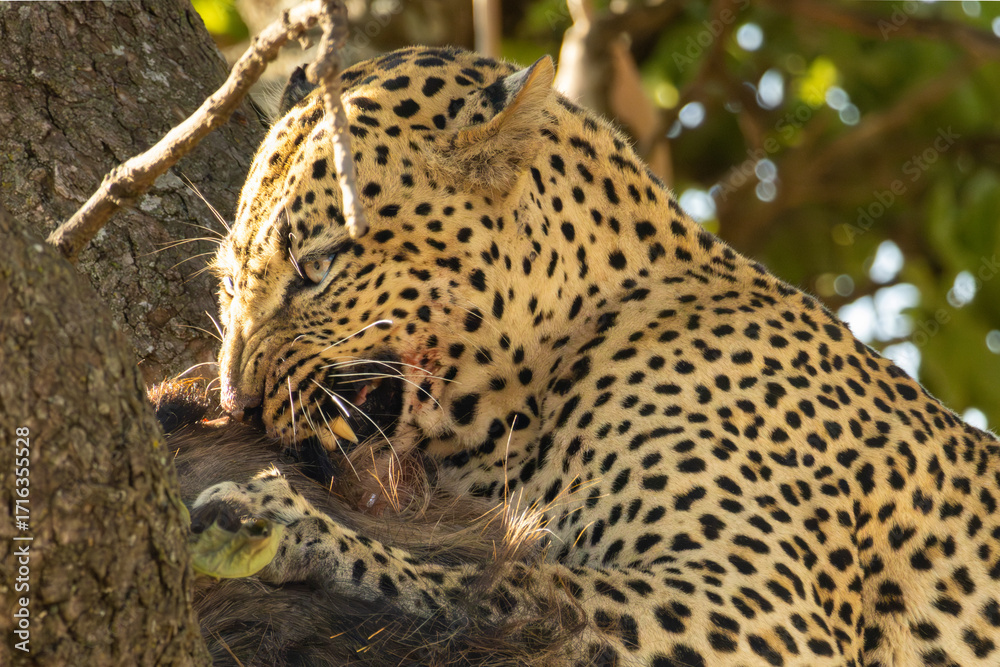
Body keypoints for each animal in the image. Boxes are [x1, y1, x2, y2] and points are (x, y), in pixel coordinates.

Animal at [198, 45, 1000, 666]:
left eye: (318, 267)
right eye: (230, 281)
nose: (236, 402)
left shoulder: (760, 604)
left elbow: (514, 589)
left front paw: (281, 523)